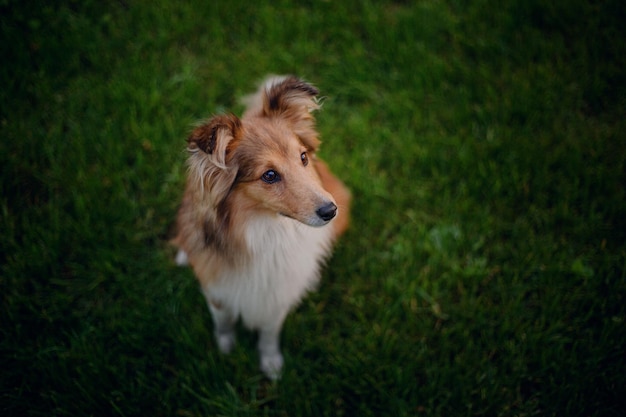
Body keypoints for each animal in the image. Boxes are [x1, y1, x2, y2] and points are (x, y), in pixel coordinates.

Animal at [173, 75, 348, 380]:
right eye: (269, 175)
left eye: (303, 157)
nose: (330, 211)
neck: (268, 229)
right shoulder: (218, 290)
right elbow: (223, 321)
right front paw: (225, 347)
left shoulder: (275, 295)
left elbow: (268, 333)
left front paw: (271, 363)